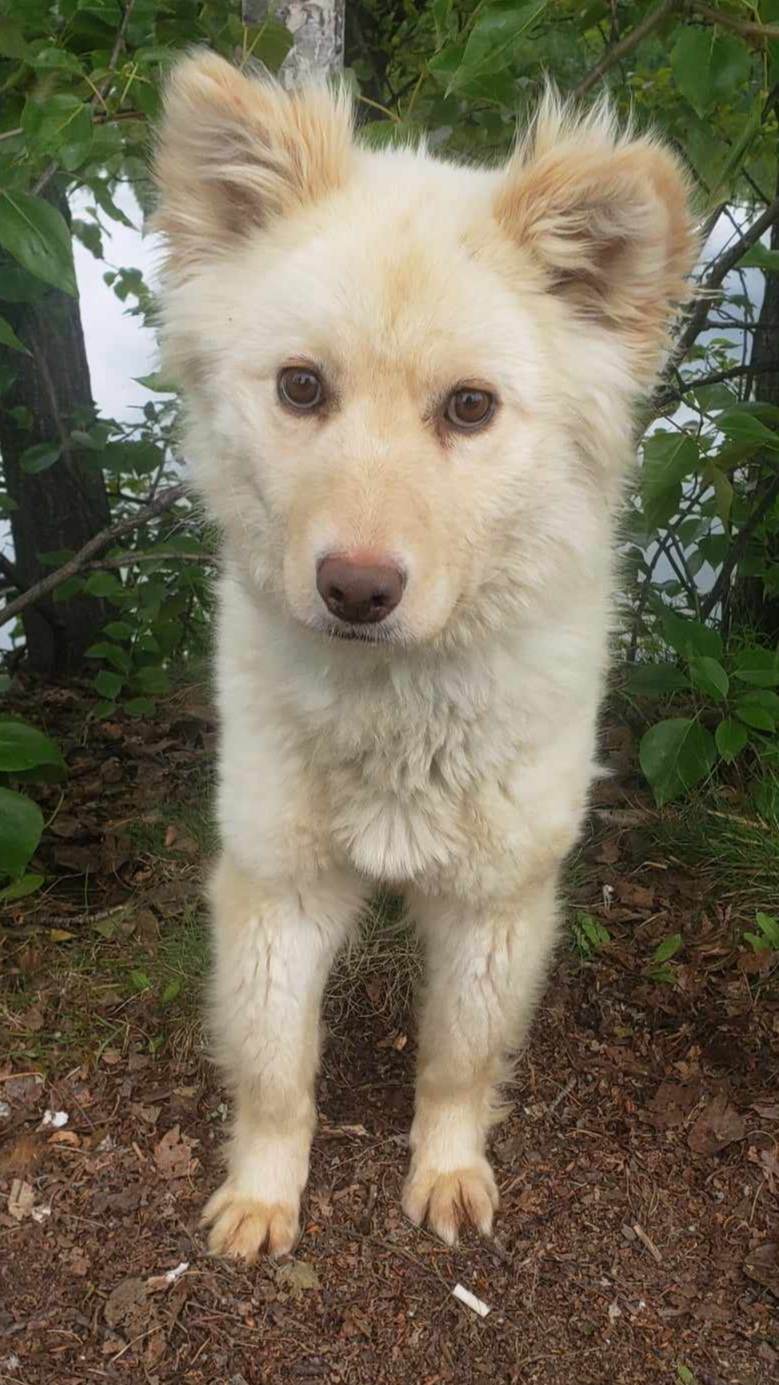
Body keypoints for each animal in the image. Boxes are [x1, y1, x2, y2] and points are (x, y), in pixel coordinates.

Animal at [151, 54, 690, 1263]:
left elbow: (457, 1060)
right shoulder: (276, 884)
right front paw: (263, 1193)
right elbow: (276, 1071)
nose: (355, 588)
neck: (399, 710)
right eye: (301, 387)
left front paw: (446, 1172)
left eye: (469, 407)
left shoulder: (498, 901)